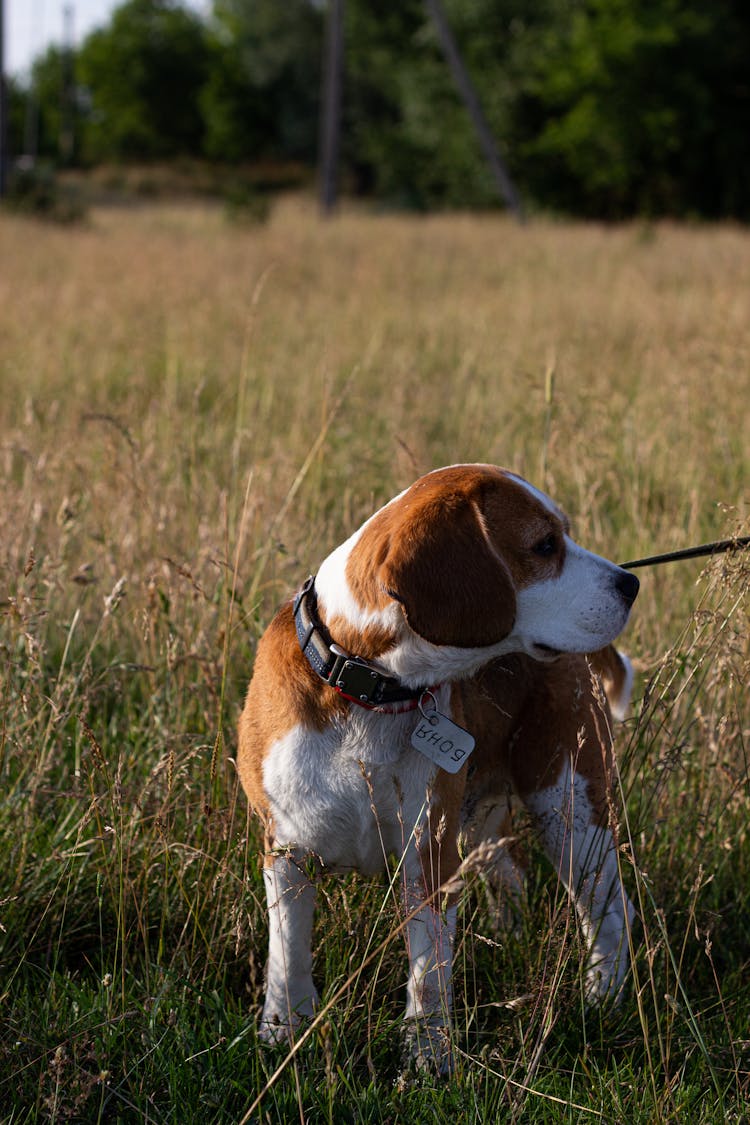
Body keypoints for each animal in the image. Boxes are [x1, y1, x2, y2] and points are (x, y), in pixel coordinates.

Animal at [239, 465, 638, 1071]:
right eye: (545, 545)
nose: (631, 583)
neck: (366, 685)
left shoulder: (429, 853)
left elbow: (429, 970)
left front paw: (429, 1056)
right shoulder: (286, 852)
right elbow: (287, 956)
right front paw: (282, 1032)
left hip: (571, 810)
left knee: (610, 910)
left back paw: (603, 998)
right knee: (513, 871)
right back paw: (512, 938)